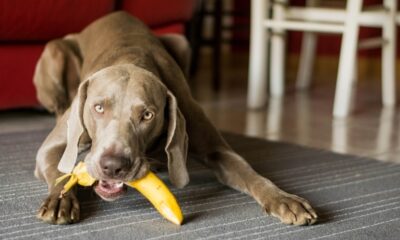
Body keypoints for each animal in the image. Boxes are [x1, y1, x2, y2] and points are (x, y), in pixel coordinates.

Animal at [32, 11, 318, 225]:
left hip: (182, 41)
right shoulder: (52, 148)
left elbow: (250, 173)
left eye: (147, 115)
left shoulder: (215, 146)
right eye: (99, 108)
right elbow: (59, 171)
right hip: (55, 52)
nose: (113, 166)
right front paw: (60, 199)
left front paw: (283, 199)